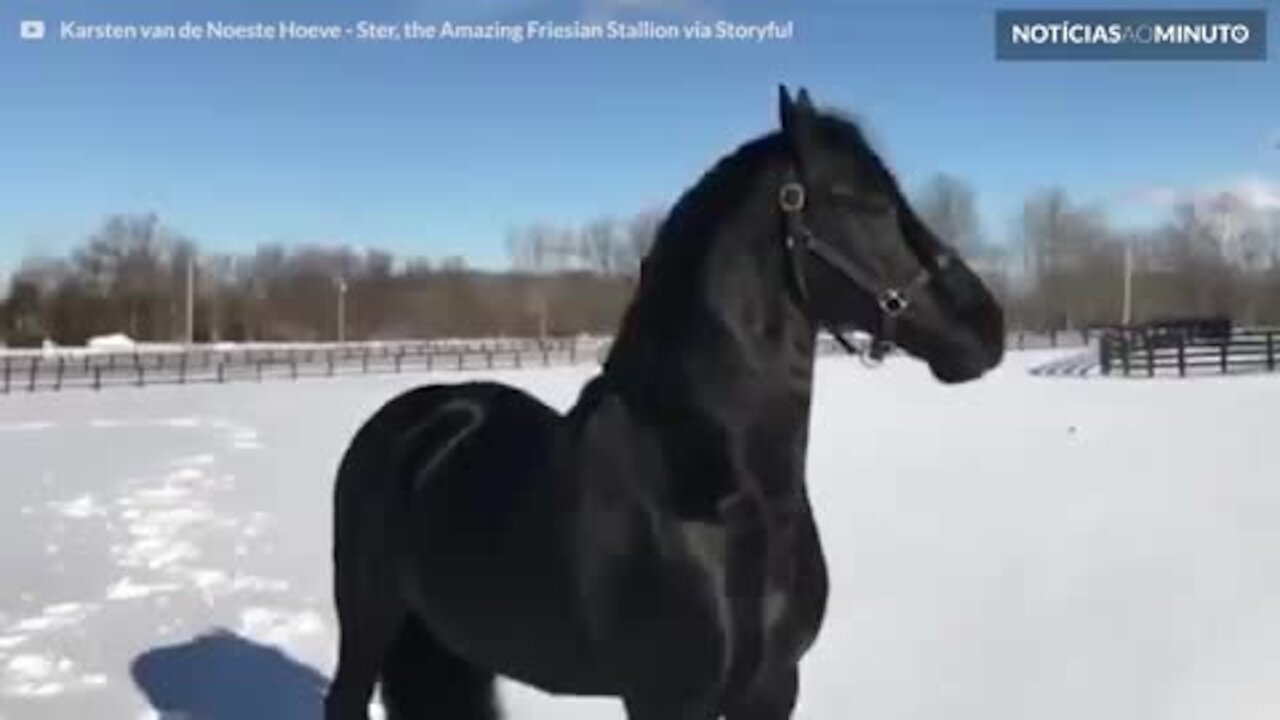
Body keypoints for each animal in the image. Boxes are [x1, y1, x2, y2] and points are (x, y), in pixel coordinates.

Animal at [325, 85, 1003, 717]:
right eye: (861, 200)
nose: (985, 327)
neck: (721, 492)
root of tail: (418, 418)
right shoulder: (667, 697)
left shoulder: (774, 687)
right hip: (368, 622)